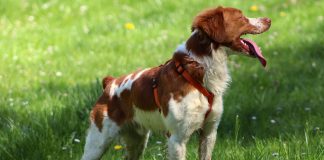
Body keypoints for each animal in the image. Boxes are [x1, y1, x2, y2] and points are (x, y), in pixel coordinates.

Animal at [81, 6, 270, 160]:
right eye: (241, 17)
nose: (268, 20)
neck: (199, 71)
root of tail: (110, 84)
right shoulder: (177, 138)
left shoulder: (209, 133)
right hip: (97, 142)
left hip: (137, 141)